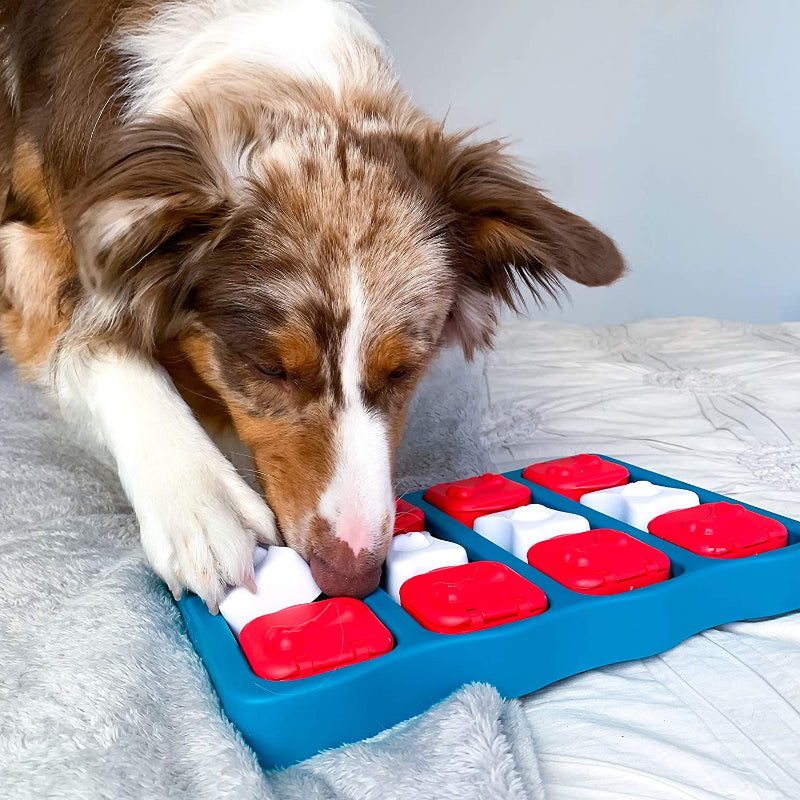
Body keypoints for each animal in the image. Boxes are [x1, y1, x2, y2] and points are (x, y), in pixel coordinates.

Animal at [0, 1, 624, 612]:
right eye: (269, 370)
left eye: (403, 372)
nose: (351, 577)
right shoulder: (32, 244)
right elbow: (94, 346)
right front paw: (201, 501)